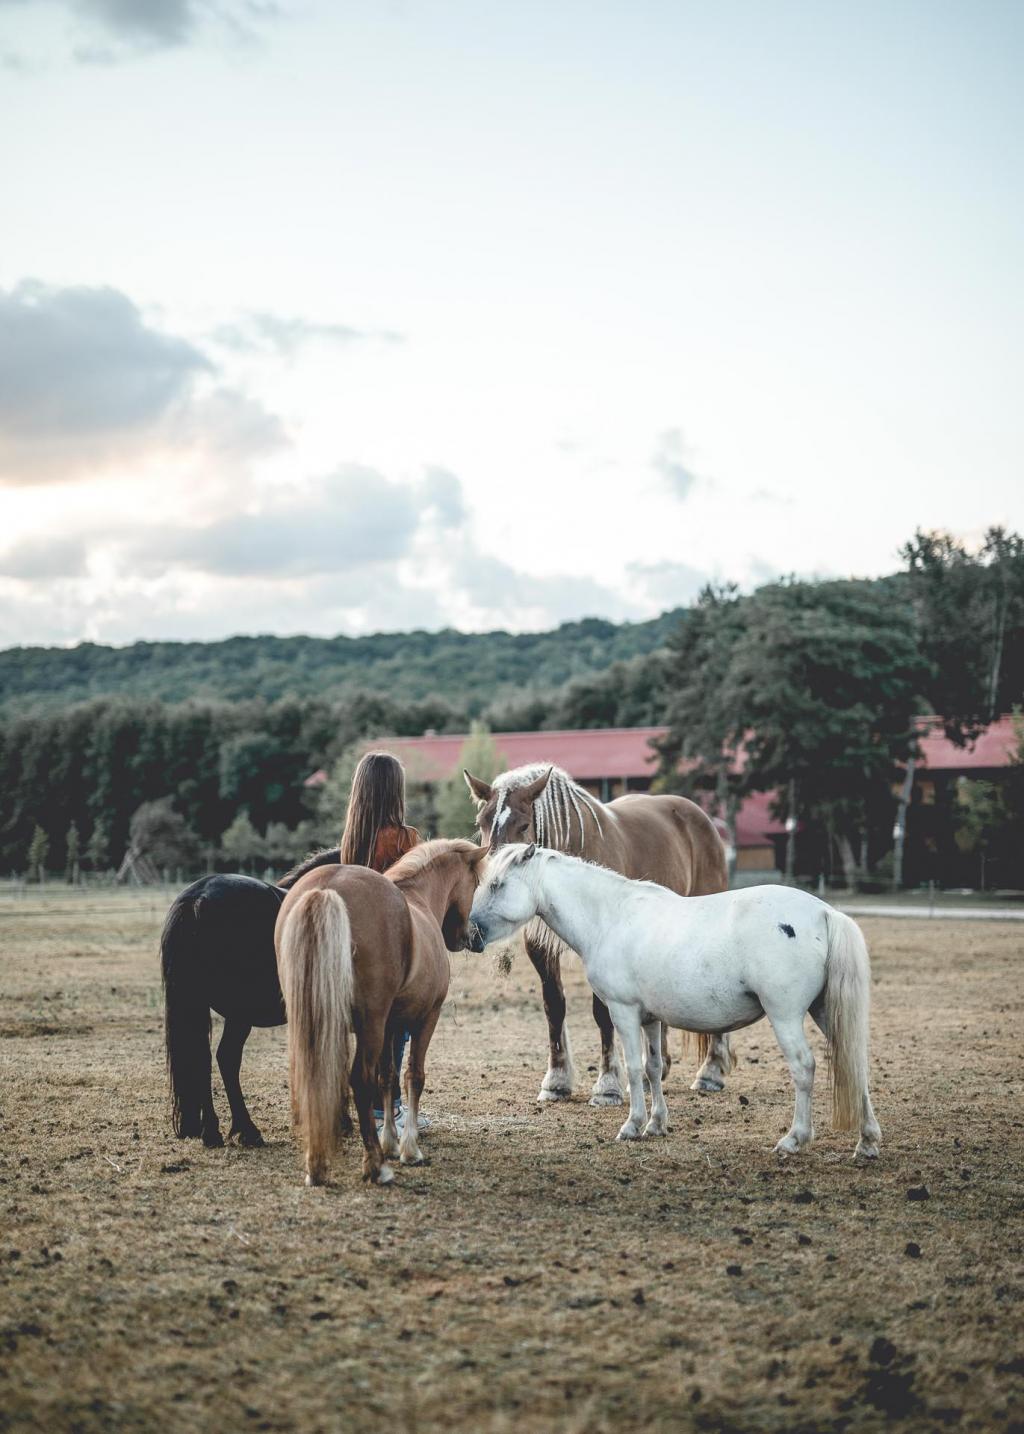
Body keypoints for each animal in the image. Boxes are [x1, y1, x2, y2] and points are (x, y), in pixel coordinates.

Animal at [275, 837, 487, 1187]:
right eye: (476, 883)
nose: (472, 937)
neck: (419, 899)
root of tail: (326, 888)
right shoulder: (425, 1018)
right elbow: (414, 1075)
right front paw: (409, 1149)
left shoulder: (392, 1023)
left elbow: (387, 1077)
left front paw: (390, 1141)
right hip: (369, 1025)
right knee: (360, 1080)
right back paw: (376, 1166)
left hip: (314, 1021)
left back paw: (317, 1166)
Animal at [458, 768, 728, 1101]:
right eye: (481, 823)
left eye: (523, 824)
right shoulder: (541, 948)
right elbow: (554, 1007)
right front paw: (556, 1081)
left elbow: (602, 1013)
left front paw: (607, 1084)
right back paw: (657, 1071)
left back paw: (711, 1072)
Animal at [467, 843, 877, 1158]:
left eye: (498, 884)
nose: (470, 936)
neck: (610, 917)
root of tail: (824, 913)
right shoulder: (650, 1019)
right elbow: (652, 1068)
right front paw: (656, 1124)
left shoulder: (623, 1012)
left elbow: (633, 1069)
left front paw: (632, 1125)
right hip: (824, 1012)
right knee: (854, 1062)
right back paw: (867, 1142)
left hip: (786, 1016)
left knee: (803, 1067)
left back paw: (794, 1139)